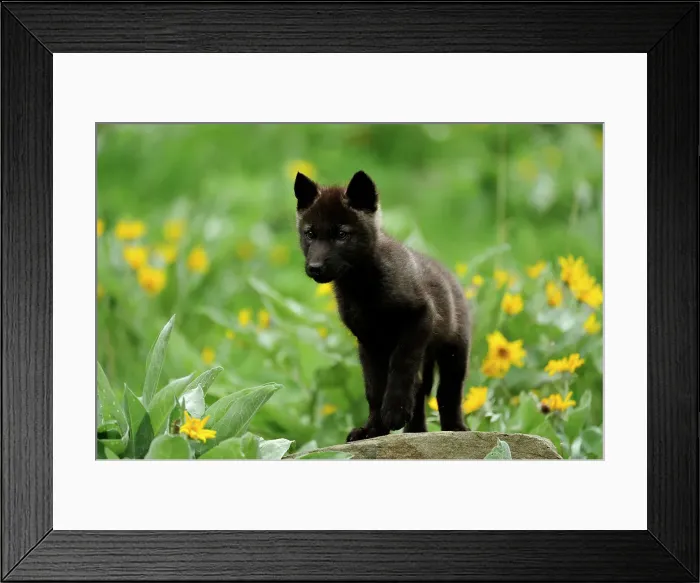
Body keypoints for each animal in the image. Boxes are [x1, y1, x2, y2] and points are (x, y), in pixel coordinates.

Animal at [294, 170, 471, 442]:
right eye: (310, 233)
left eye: (341, 234)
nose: (315, 267)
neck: (362, 288)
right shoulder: (368, 341)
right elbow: (374, 389)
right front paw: (373, 430)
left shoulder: (420, 319)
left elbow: (401, 366)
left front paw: (395, 412)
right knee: (420, 387)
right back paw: (416, 431)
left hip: (454, 350)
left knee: (447, 391)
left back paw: (455, 428)